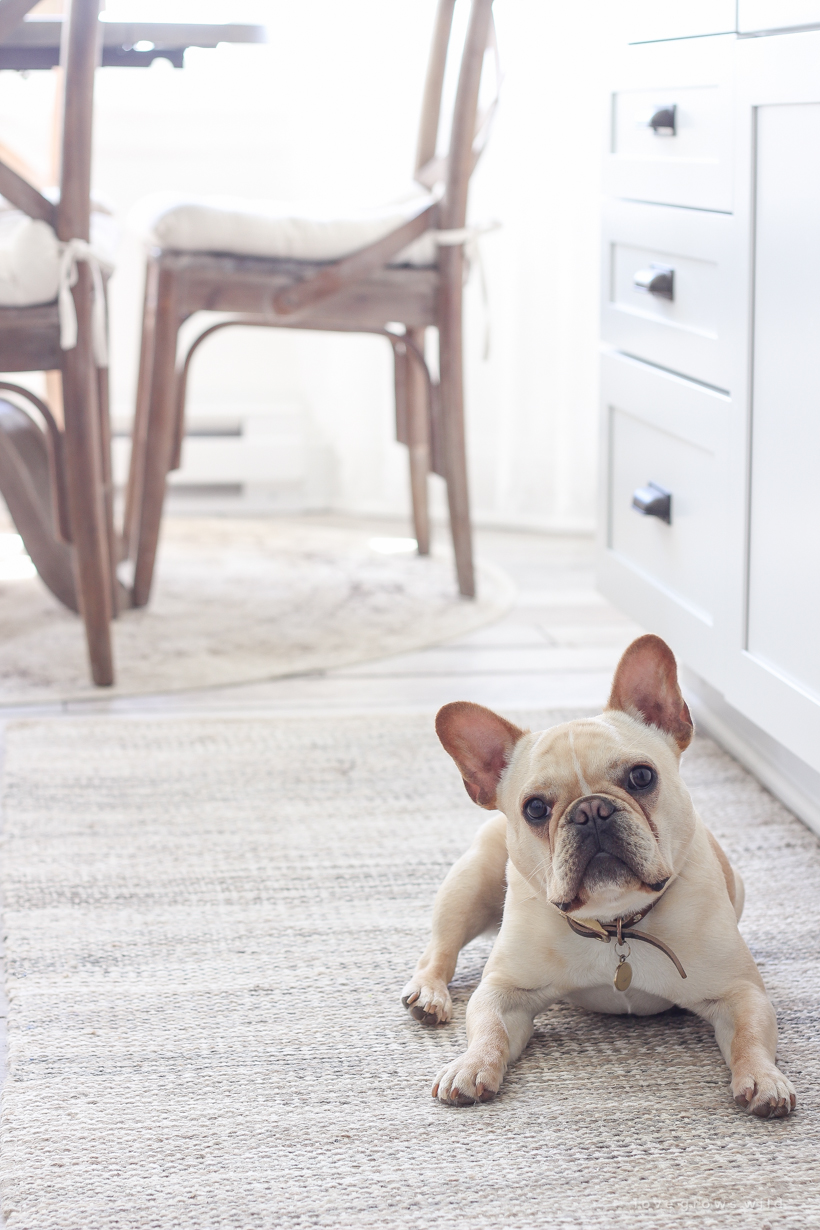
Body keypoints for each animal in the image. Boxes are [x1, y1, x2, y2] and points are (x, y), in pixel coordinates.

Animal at [403, 639, 796, 1121]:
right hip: (469, 883)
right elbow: (488, 1028)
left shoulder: (741, 993)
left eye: (642, 776)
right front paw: (470, 1065)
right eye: (535, 808)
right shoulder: (504, 991)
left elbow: (749, 1037)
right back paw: (428, 994)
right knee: (440, 949)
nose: (591, 810)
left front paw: (763, 1078)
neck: (616, 924)